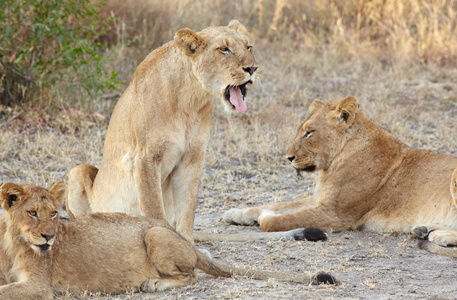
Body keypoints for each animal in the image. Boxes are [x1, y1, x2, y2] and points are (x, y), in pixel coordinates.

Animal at [0, 182, 334, 298]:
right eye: (32, 212)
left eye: (54, 214)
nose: (49, 236)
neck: (13, 245)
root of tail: (187, 242)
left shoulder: (40, 286)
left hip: (155, 234)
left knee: (192, 276)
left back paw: (153, 284)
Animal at [64, 19, 258, 241]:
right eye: (224, 49)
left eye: (248, 47)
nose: (253, 68)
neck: (190, 100)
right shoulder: (145, 157)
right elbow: (154, 209)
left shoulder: (192, 157)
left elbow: (187, 210)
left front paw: (187, 245)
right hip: (77, 171)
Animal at [223, 97, 456, 256]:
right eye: (300, 130)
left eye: (309, 132)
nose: (288, 157)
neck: (332, 163)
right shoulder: (319, 199)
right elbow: (280, 204)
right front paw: (237, 213)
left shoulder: (335, 214)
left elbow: (278, 220)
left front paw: (265, 216)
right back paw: (423, 230)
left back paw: (438, 235)